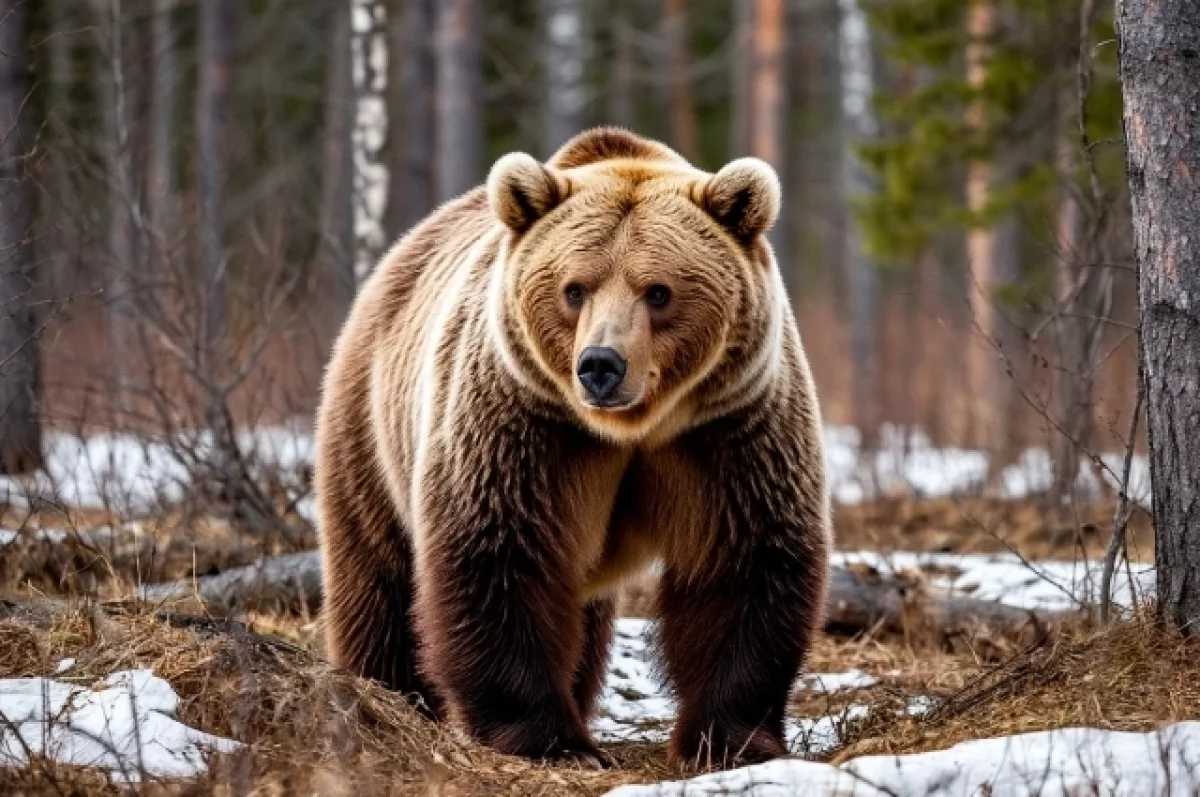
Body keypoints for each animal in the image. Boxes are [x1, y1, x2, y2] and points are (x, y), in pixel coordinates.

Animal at [315, 127, 831, 771]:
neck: (631, 430)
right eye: (574, 288)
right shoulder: (526, 423)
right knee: (377, 572)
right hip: (371, 422)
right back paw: (383, 693)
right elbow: (501, 552)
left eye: (657, 291)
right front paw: (551, 740)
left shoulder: (730, 427)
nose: (600, 365)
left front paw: (730, 741)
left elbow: (743, 560)